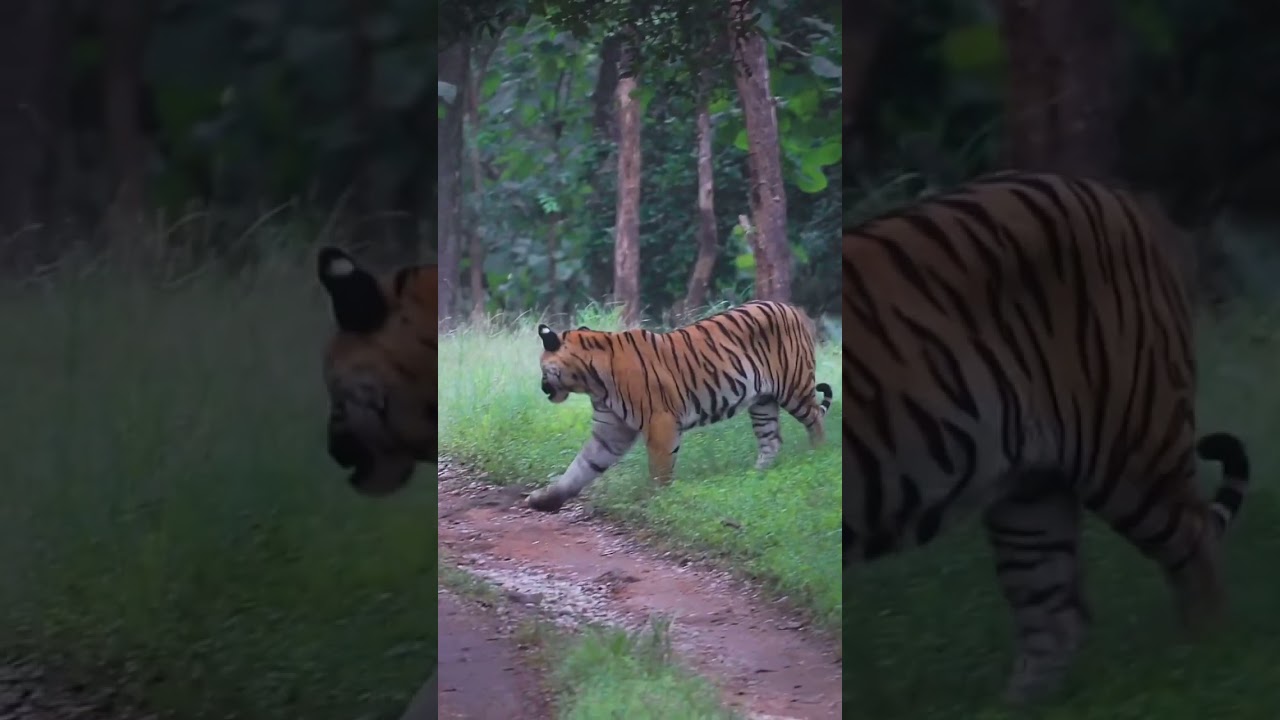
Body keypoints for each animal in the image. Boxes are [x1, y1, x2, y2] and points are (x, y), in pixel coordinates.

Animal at [527, 300, 834, 512]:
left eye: (542, 367)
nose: (542, 388)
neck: (592, 383)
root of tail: (792, 308)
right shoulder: (610, 432)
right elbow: (580, 467)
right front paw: (546, 499)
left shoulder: (660, 423)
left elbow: (659, 469)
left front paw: (657, 501)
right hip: (763, 402)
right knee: (772, 441)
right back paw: (756, 476)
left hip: (794, 388)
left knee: (815, 418)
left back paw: (818, 457)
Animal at [842, 170, 1250, 703]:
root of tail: (1122, 198)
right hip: (1032, 490)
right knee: (1057, 616)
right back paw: (1016, 707)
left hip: (1131, 449)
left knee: (1195, 543)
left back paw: (1206, 664)